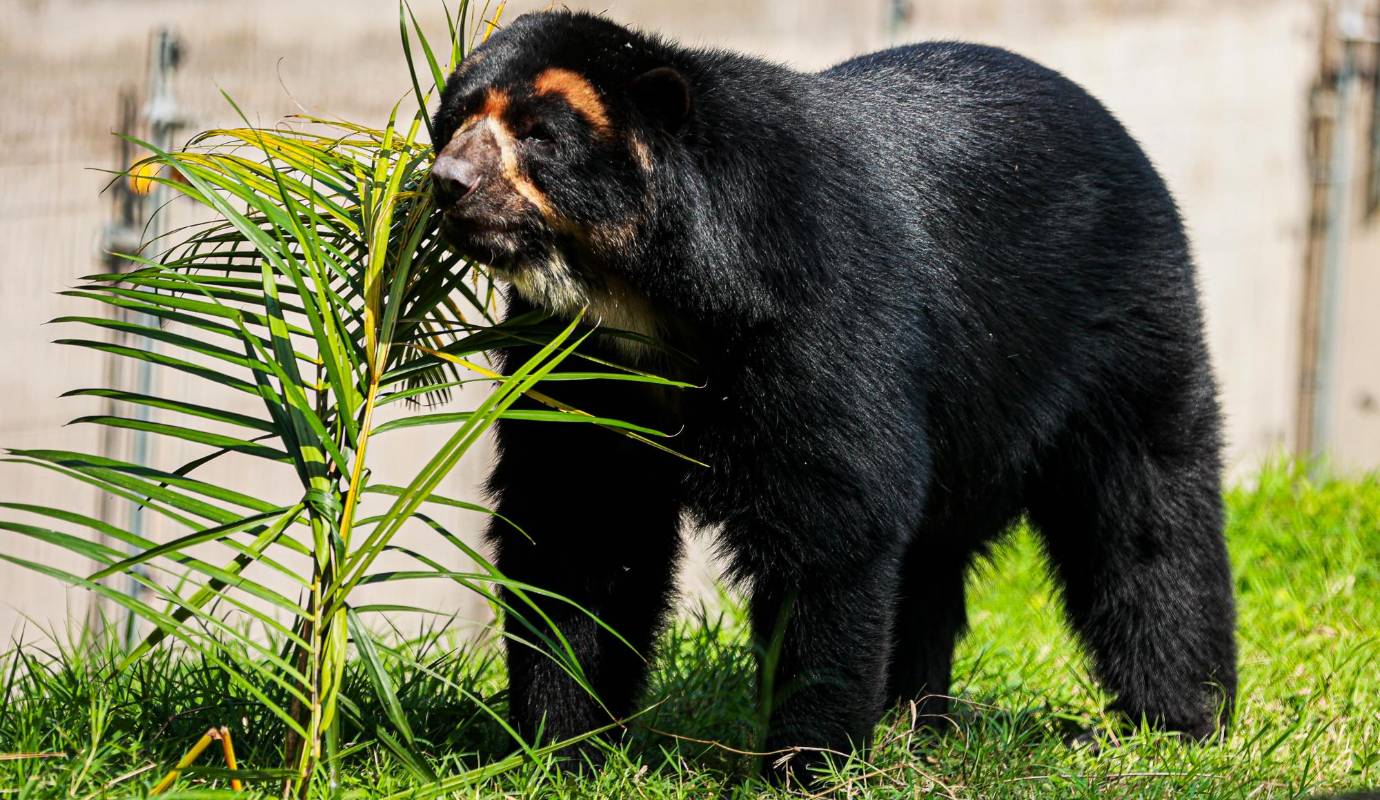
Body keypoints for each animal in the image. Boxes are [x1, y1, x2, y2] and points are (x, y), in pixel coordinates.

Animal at [429, 9, 1238, 782]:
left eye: (539, 134)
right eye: (454, 118)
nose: (447, 180)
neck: (649, 301)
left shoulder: (817, 319)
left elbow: (833, 525)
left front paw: (806, 762)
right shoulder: (575, 359)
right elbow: (578, 528)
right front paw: (557, 749)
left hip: (1118, 333)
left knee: (1148, 516)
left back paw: (1181, 719)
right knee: (933, 556)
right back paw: (915, 719)